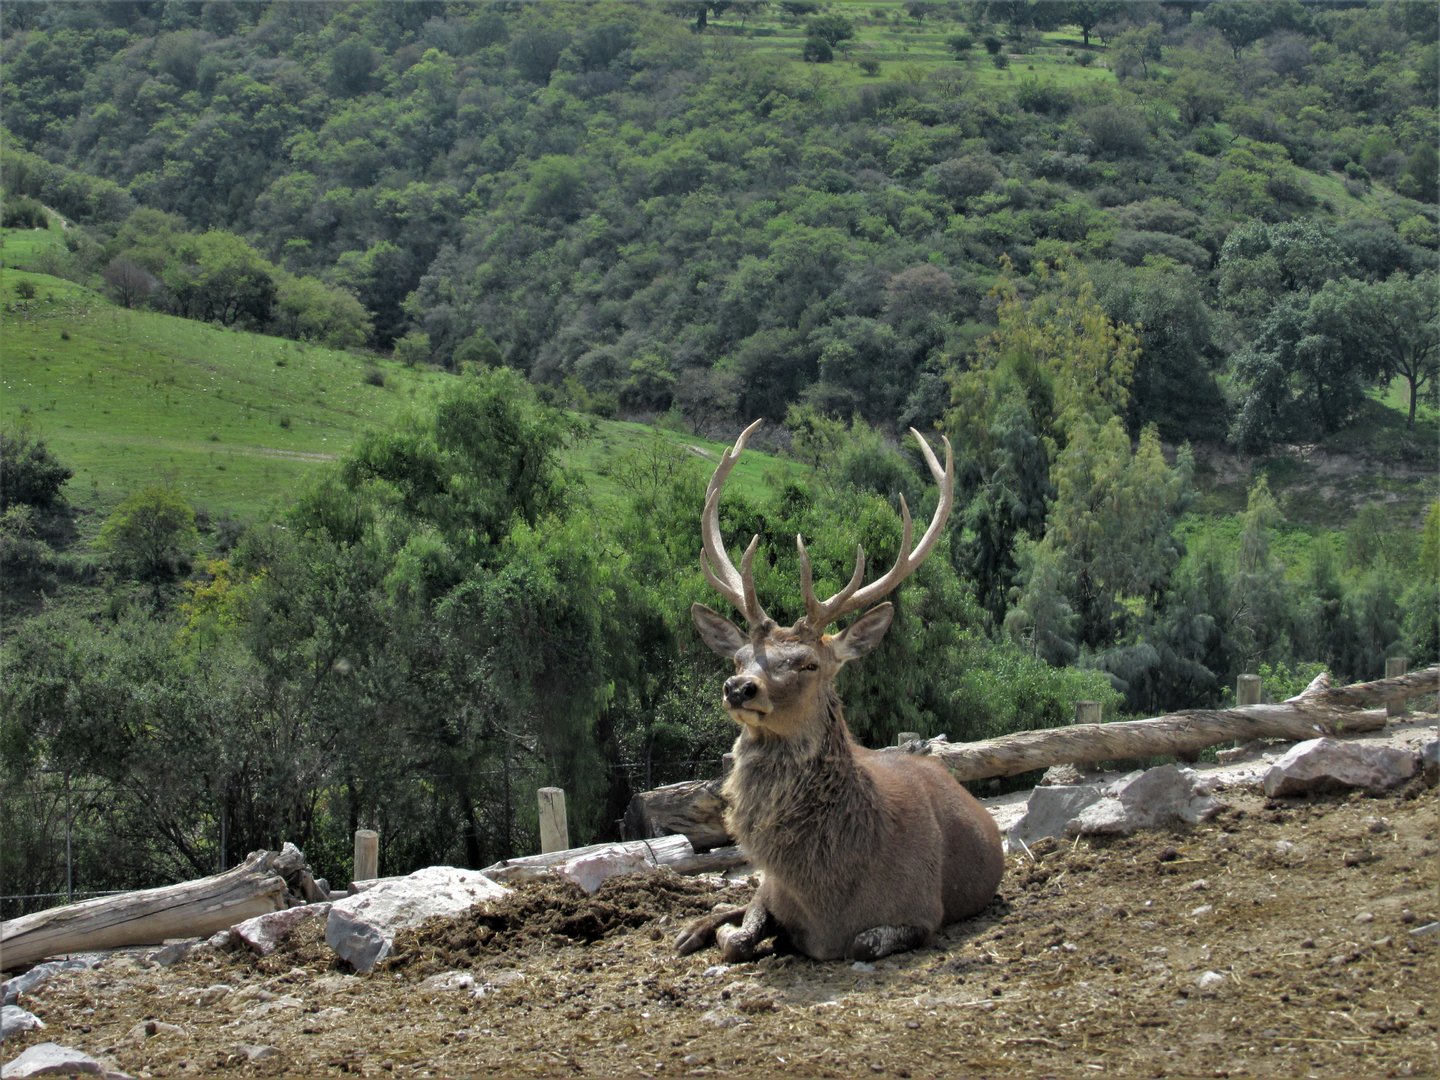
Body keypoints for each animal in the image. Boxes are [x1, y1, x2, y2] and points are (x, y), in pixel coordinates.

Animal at [675, 420, 1004, 964]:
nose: (739, 688)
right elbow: (741, 934)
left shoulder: (923, 911)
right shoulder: (772, 889)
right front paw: (715, 930)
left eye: (809, 663)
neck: (826, 899)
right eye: (738, 658)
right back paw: (691, 928)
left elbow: (866, 943)